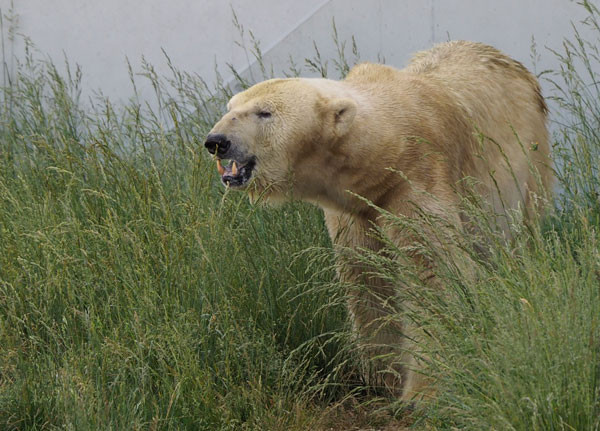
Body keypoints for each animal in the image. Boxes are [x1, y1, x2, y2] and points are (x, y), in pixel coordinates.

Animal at [205, 41, 552, 402]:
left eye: (264, 112)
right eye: (231, 106)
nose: (217, 141)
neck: (385, 150)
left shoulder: (416, 180)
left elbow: (432, 273)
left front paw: (424, 391)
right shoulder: (355, 211)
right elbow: (367, 276)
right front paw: (382, 376)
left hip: (526, 160)